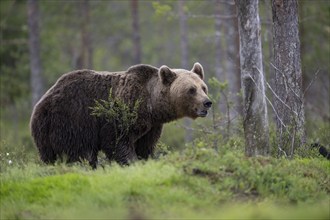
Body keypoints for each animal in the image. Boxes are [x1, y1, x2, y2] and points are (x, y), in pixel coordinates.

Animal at [30, 62, 211, 168]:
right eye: (191, 90)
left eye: (203, 87)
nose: (207, 103)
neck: (151, 105)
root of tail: (41, 104)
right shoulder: (123, 113)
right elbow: (117, 142)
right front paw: (131, 162)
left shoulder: (152, 126)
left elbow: (145, 146)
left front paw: (145, 159)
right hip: (72, 119)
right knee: (79, 152)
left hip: (48, 134)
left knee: (50, 155)